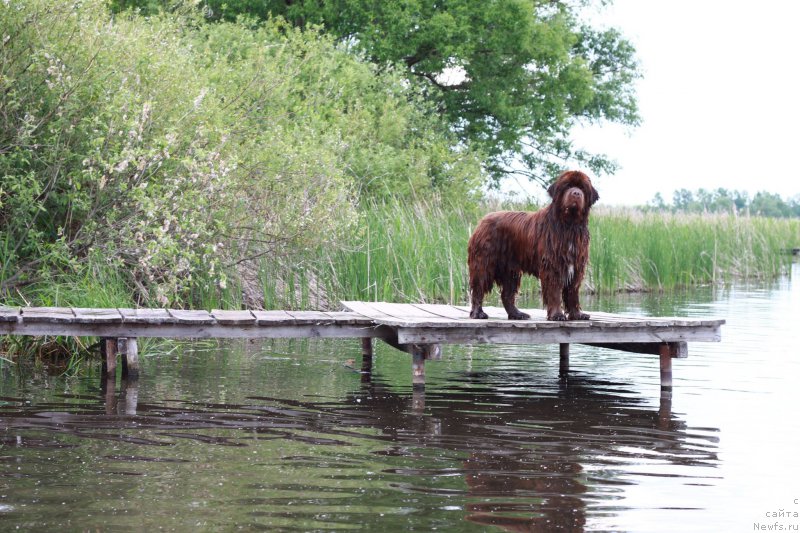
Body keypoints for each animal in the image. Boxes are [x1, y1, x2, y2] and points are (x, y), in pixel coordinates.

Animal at [468, 170, 600, 320]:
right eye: (567, 186)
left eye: (582, 188)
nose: (576, 193)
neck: (569, 225)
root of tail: (482, 221)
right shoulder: (553, 265)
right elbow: (554, 291)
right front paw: (557, 315)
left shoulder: (576, 267)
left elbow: (573, 292)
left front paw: (577, 314)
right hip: (483, 262)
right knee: (478, 287)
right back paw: (478, 313)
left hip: (510, 270)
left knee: (507, 294)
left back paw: (517, 314)